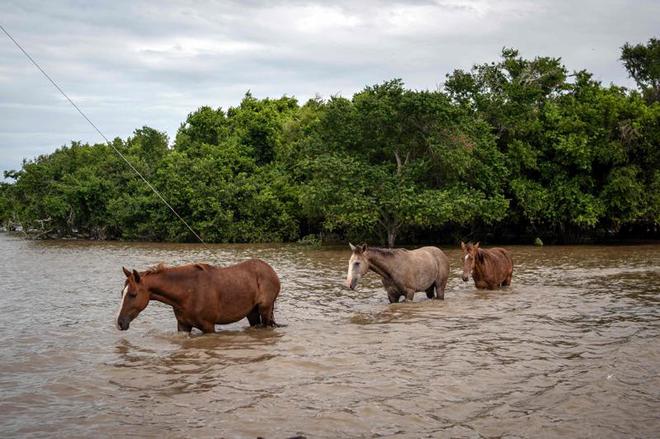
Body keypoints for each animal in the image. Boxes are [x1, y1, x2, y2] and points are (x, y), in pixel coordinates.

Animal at [116, 260, 282, 336]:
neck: (187, 293)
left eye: (133, 294)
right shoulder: (183, 326)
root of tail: (270, 270)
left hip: (265, 310)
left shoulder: (208, 327)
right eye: (122, 292)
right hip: (252, 312)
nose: (120, 323)